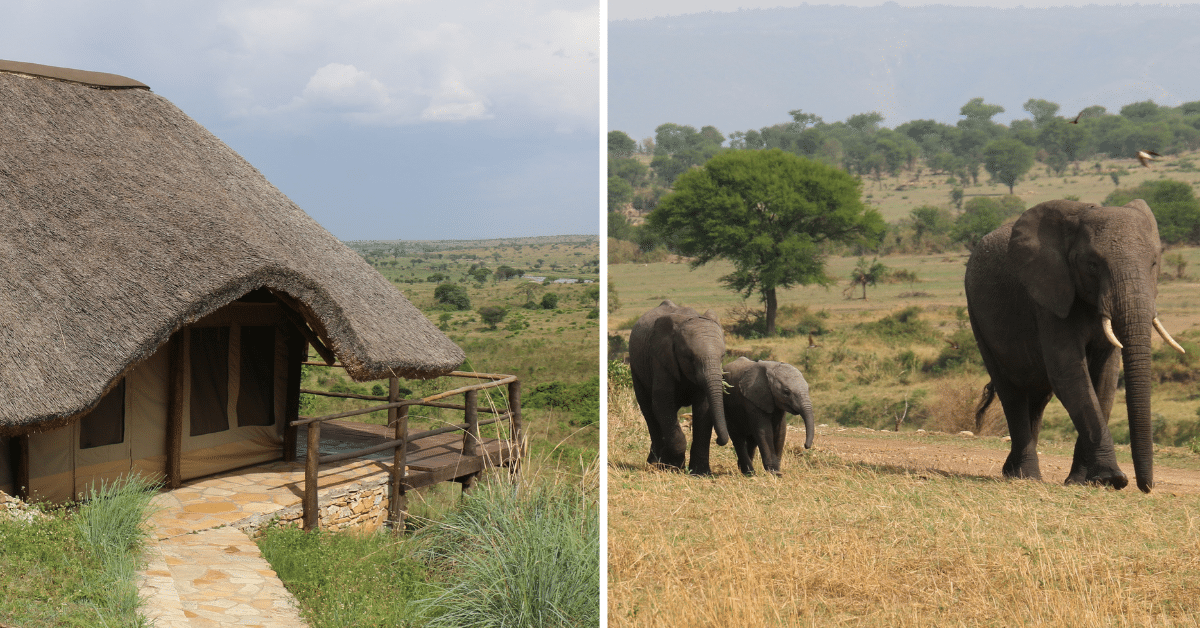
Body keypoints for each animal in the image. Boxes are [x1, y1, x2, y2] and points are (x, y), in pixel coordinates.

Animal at [628, 300, 729, 470]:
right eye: (690, 357)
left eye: (723, 356)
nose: (719, 441)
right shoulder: (661, 359)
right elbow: (662, 403)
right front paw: (675, 467)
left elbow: (703, 408)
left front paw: (701, 471)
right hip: (636, 368)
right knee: (649, 410)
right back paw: (655, 463)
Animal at [960, 199, 1185, 494]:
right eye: (1092, 264)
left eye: (1154, 263)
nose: (1146, 486)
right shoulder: (1048, 298)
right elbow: (1070, 374)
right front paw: (1112, 479)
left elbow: (1105, 379)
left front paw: (1085, 481)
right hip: (977, 316)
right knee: (1012, 393)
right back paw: (1026, 476)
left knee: (1038, 397)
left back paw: (1012, 472)